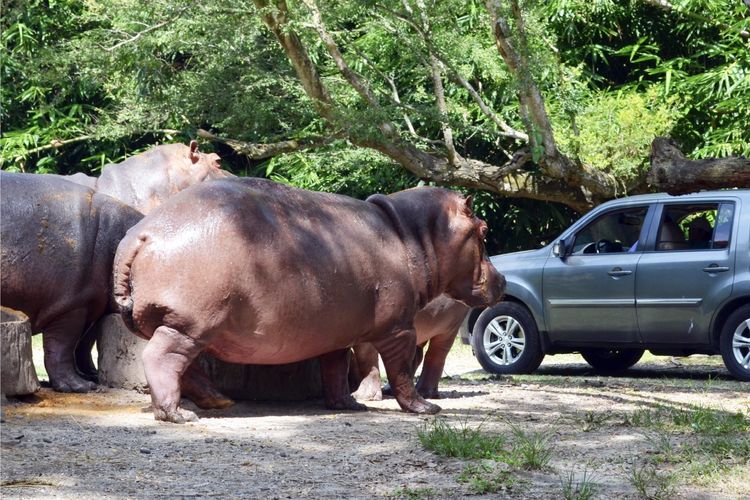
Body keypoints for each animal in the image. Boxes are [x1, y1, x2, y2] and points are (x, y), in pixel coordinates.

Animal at [1, 172, 144, 390]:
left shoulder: (93, 302)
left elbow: (85, 343)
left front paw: (92, 376)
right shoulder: (71, 305)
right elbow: (63, 346)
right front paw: (81, 387)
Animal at [113, 177, 506, 422]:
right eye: (484, 229)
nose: (502, 279)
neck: (413, 234)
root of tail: (141, 234)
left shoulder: (338, 333)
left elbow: (334, 369)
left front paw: (348, 405)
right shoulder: (398, 329)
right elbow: (402, 370)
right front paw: (424, 410)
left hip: (185, 326)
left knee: (185, 366)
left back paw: (217, 402)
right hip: (189, 324)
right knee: (161, 360)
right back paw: (178, 415)